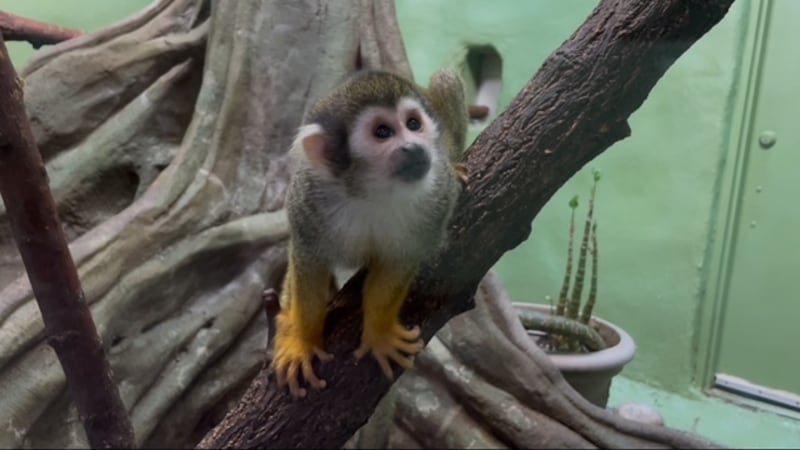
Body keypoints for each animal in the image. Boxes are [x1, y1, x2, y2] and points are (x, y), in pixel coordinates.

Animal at [273, 68, 469, 398]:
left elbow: (398, 263)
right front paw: (302, 341)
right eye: (382, 132)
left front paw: (380, 335)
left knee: (446, 78)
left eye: (413, 124)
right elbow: (308, 259)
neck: (373, 192)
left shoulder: (437, 201)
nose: (414, 147)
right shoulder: (308, 199)